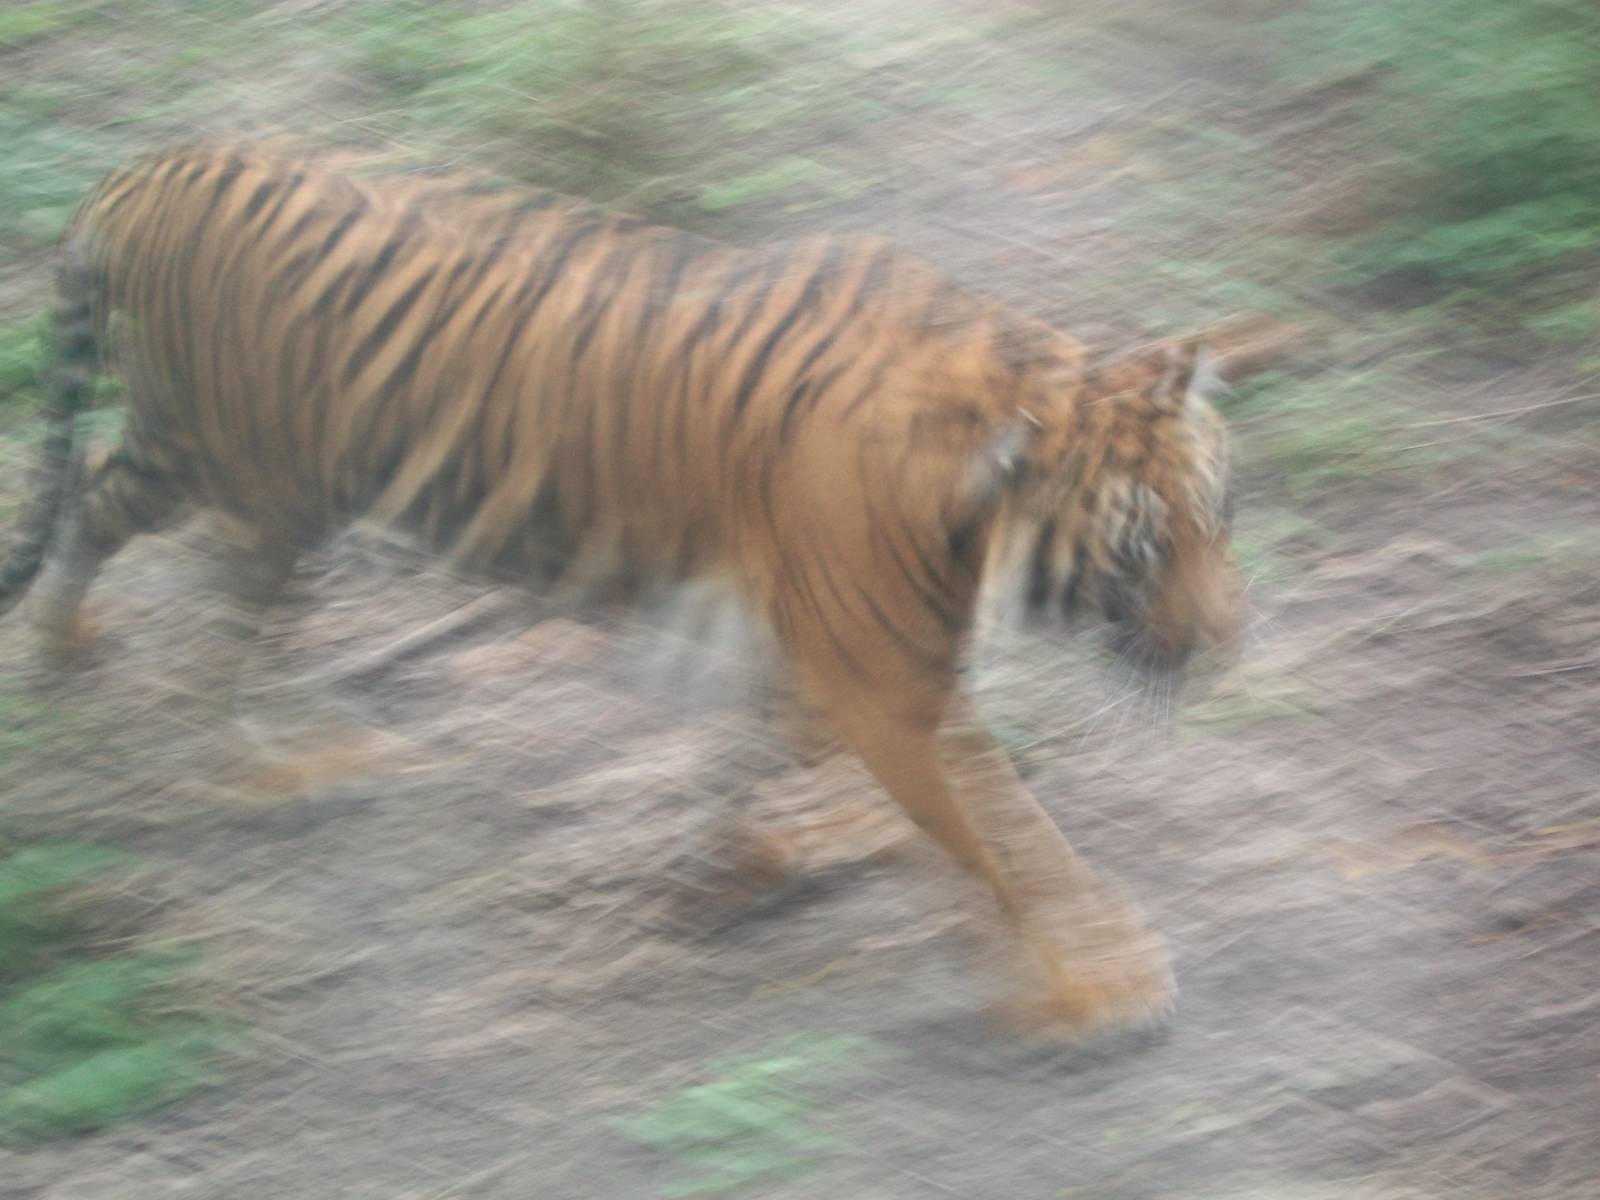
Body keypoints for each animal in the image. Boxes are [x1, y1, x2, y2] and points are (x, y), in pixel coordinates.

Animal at [0, 144, 1241, 1034]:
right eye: (1143, 546)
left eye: (1217, 512)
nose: (1228, 642)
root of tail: (165, 163)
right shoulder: (887, 685)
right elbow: (1009, 838)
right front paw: (1094, 985)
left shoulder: (818, 654)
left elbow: (770, 757)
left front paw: (744, 862)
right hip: (250, 473)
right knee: (184, 606)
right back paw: (251, 754)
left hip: (211, 455)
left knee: (104, 508)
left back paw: (73, 646)